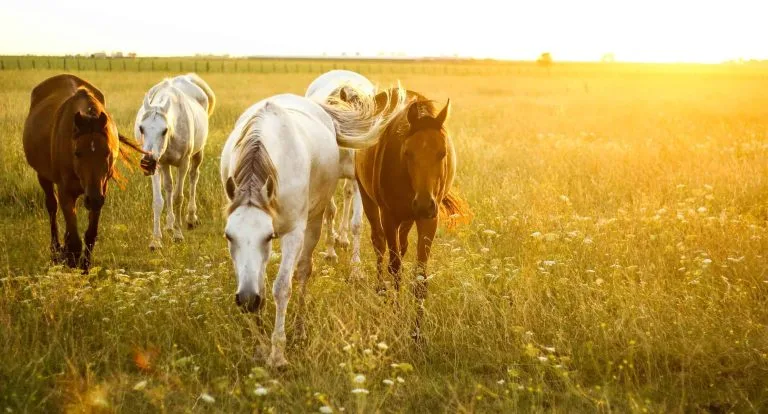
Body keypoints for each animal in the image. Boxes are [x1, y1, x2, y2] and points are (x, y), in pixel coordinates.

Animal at [22, 74, 145, 272]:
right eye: (78, 153)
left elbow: (90, 234)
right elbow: (74, 240)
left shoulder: (101, 190)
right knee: (52, 207)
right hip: (43, 176)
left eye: (107, 152)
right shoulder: (65, 191)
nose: (93, 199)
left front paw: (85, 267)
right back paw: (56, 250)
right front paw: (71, 264)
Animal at [134, 73, 215, 250]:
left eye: (164, 130)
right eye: (141, 128)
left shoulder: (183, 163)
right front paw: (156, 240)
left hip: (197, 154)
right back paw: (169, 224)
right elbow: (158, 200)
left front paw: (178, 235)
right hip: (164, 165)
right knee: (168, 187)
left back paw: (191, 218)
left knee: (193, 178)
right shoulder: (158, 164)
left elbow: (179, 197)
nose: (147, 163)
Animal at [305, 70, 376, 265]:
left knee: (347, 194)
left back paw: (343, 239)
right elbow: (330, 212)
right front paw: (330, 253)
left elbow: (357, 223)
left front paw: (356, 265)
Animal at [355, 89, 471, 341]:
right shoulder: (389, 217)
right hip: (367, 198)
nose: (424, 204)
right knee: (379, 244)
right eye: (407, 153)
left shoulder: (428, 220)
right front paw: (397, 315)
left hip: (409, 218)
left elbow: (420, 277)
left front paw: (417, 333)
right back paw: (380, 291)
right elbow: (396, 268)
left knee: (402, 244)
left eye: (442, 153)